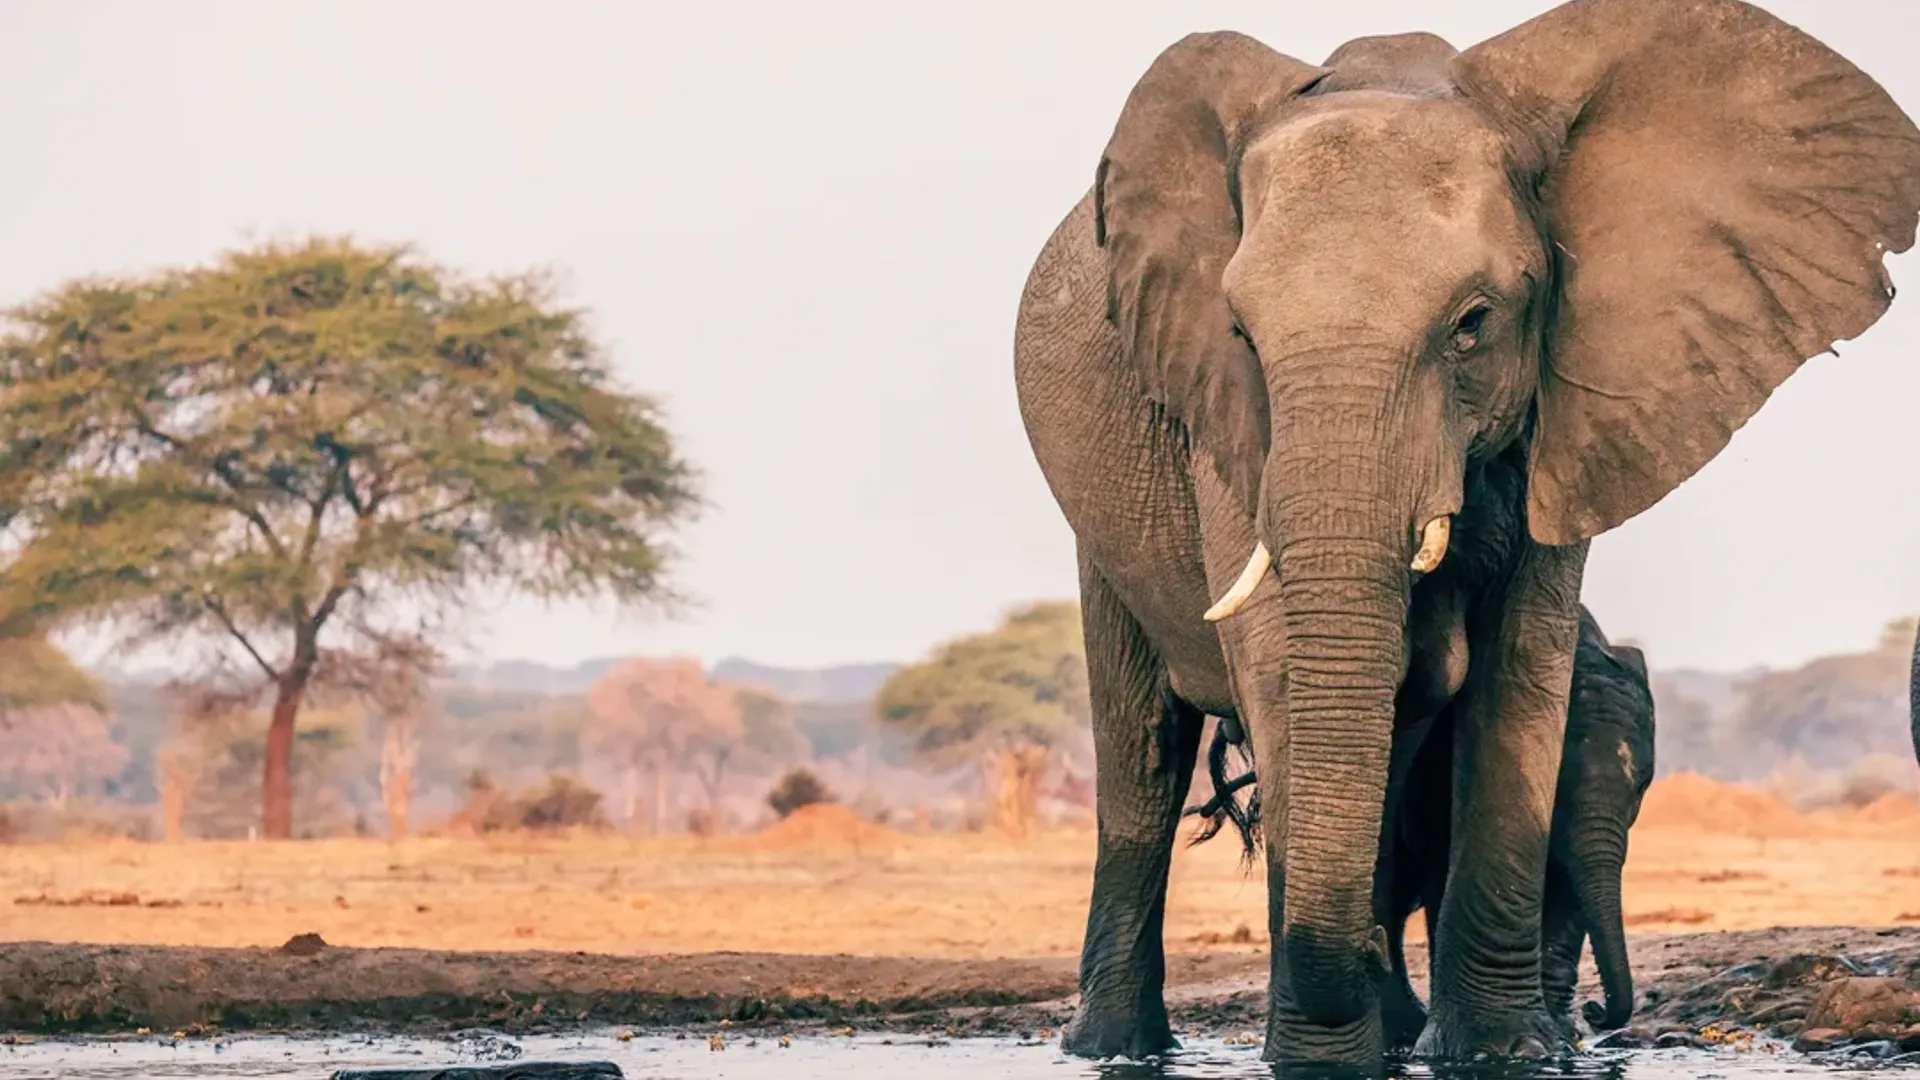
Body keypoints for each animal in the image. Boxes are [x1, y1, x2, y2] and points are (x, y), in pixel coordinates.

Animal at [1378, 604, 1657, 1046]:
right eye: (1555, 783)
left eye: (1643, 784)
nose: (1595, 1011)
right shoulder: (1438, 769)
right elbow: (1443, 871)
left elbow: (1570, 892)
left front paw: (1563, 1031)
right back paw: (1403, 1028)